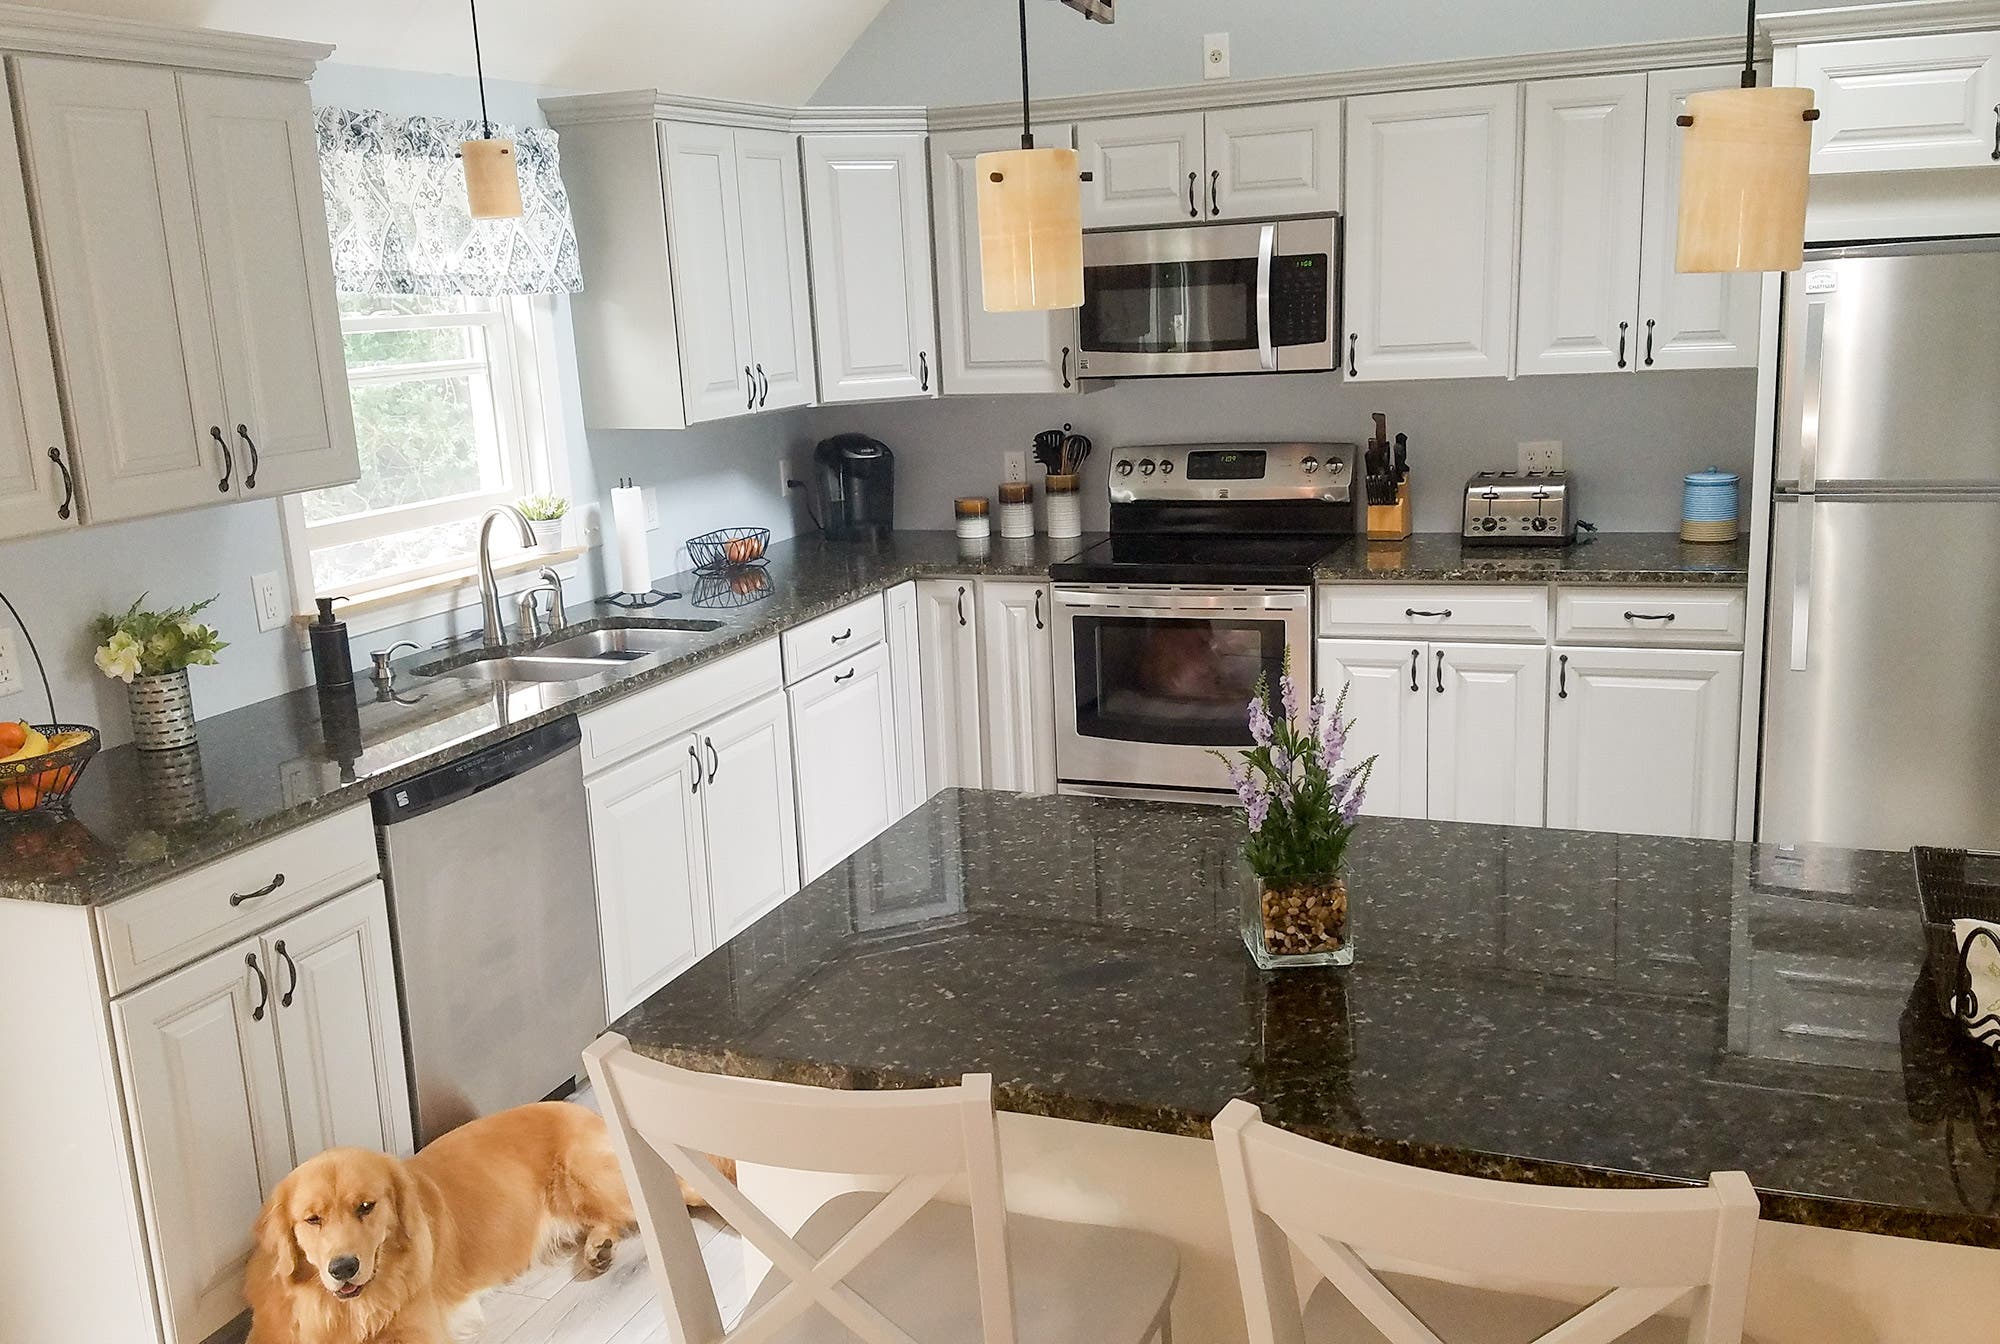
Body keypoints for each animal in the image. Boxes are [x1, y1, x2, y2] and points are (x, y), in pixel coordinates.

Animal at [245, 1104, 632, 1344]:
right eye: (313, 1219)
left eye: (366, 1207)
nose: (343, 1268)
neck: (340, 1311)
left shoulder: (418, 1329)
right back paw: (599, 1248)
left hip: (587, 1178)